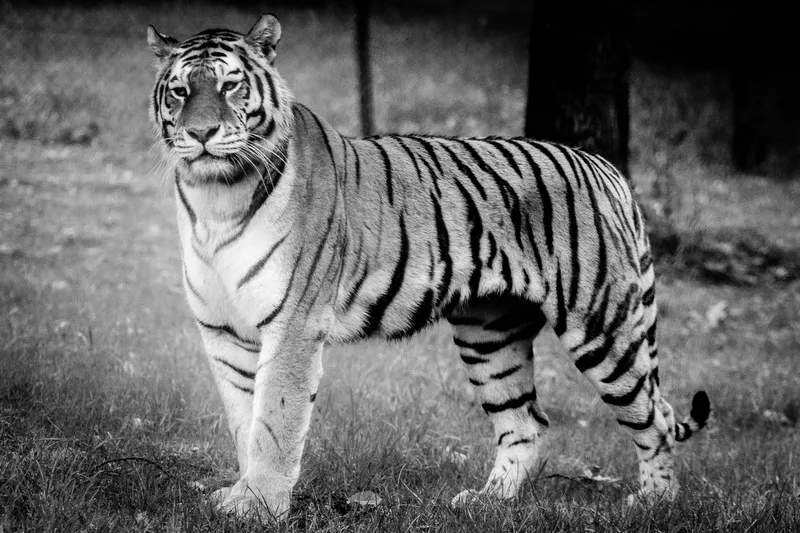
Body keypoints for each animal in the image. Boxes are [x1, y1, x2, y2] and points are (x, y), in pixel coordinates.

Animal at [146, 13, 711, 519]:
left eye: (231, 85)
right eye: (179, 91)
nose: (201, 133)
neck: (216, 198)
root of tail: (607, 167)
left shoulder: (292, 329)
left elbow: (275, 425)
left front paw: (259, 507)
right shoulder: (223, 332)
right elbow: (245, 423)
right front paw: (241, 496)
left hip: (602, 329)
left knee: (656, 418)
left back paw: (654, 503)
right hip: (491, 335)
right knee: (528, 425)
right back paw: (487, 502)